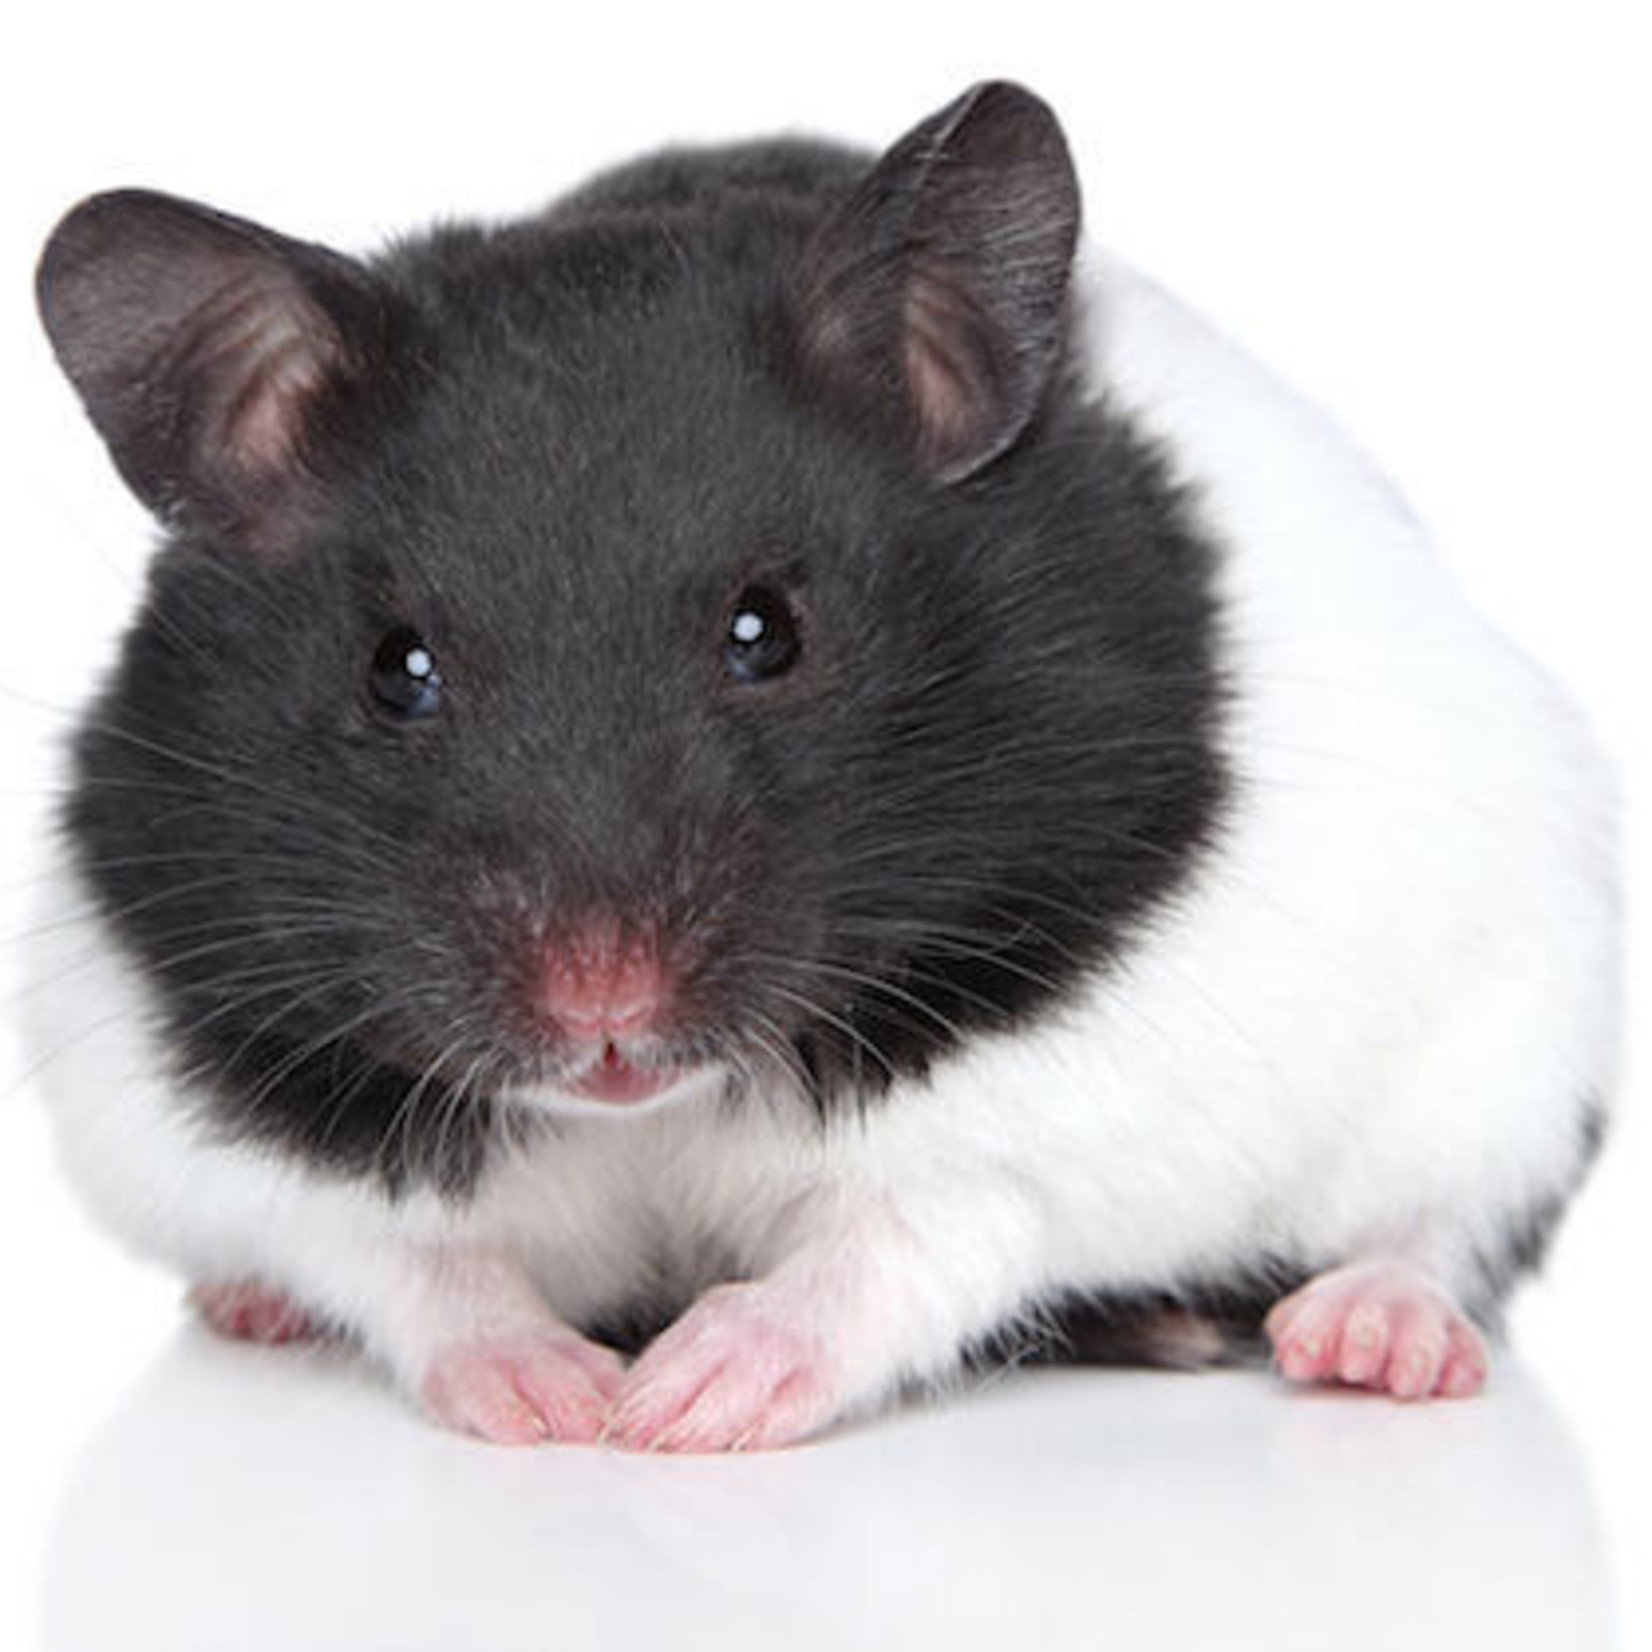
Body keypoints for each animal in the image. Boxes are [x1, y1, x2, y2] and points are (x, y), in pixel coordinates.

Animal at [28, 80, 1618, 1450]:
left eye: (767, 630)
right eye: (394, 669)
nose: (602, 1007)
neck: (653, 1112)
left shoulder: (1074, 1103)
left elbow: (905, 1240)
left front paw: (680, 1405)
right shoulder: (201, 1080)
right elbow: (406, 1263)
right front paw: (560, 1403)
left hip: (1520, 1018)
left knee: (1450, 1220)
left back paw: (1366, 1342)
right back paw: (258, 1310)